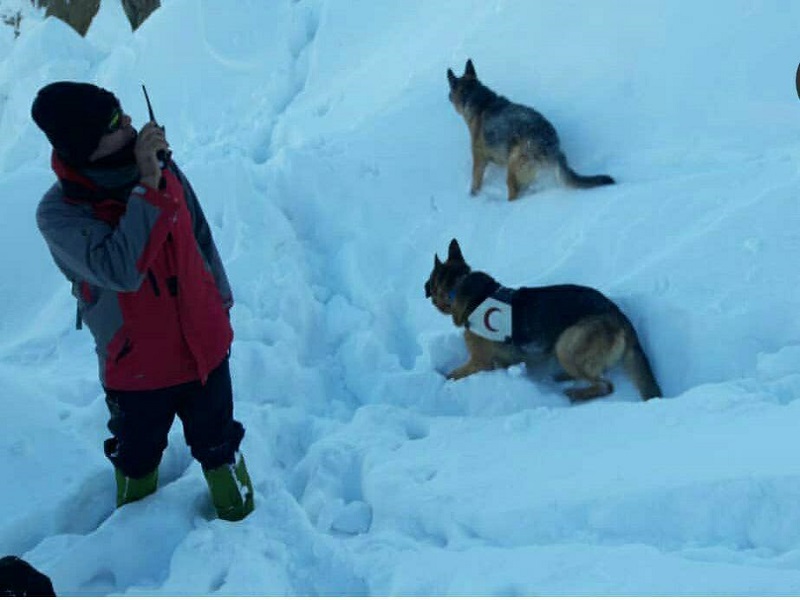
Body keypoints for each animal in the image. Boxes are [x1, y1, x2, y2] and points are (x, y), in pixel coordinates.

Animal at [424, 240, 664, 404]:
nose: (424, 290)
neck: (459, 286)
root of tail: (618, 313)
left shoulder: (478, 362)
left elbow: (451, 375)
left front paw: (438, 379)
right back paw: (562, 378)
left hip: (566, 344)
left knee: (606, 385)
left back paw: (575, 394)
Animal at [446, 60, 616, 202]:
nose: (448, 97)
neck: (478, 100)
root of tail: (554, 148)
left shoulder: (479, 160)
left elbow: (475, 183)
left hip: (513, 169)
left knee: (514, 195)